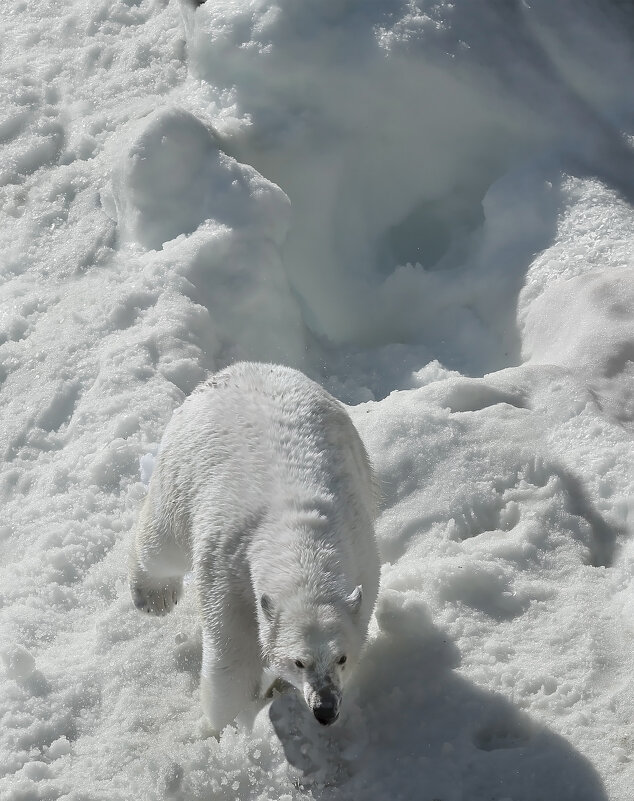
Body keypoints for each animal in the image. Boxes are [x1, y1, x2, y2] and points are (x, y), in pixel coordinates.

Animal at [126, 362, 378, 732]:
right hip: (181, 469)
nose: (325, 709)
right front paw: (229, 726)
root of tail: (240, 368)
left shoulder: (363, 559)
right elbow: (233, 662)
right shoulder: (230, 570)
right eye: (299, 661)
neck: (301, 540)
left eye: (341, 657)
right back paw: (154, 596)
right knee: (162, 542)